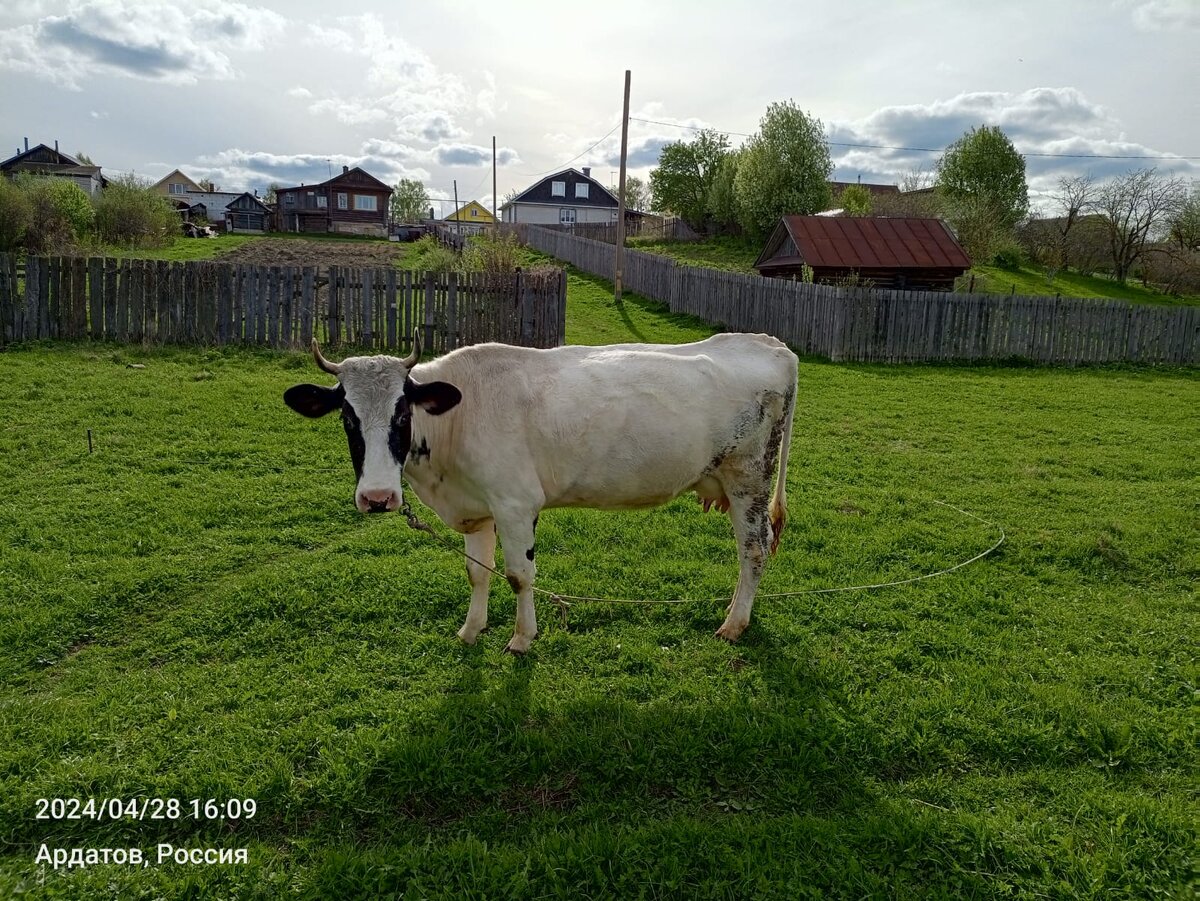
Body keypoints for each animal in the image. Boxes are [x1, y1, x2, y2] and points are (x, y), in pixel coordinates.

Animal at [283, 335, 796, 652]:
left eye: (402, 414)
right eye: (347, 416)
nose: (377, 497)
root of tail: (767, 343)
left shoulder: (516, 504)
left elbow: (518, 575)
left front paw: (521, 639)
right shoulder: (478, 509)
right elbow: (477, 573)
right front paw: (471, 630)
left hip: (749, 479)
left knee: (754, 550)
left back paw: (735, 623)